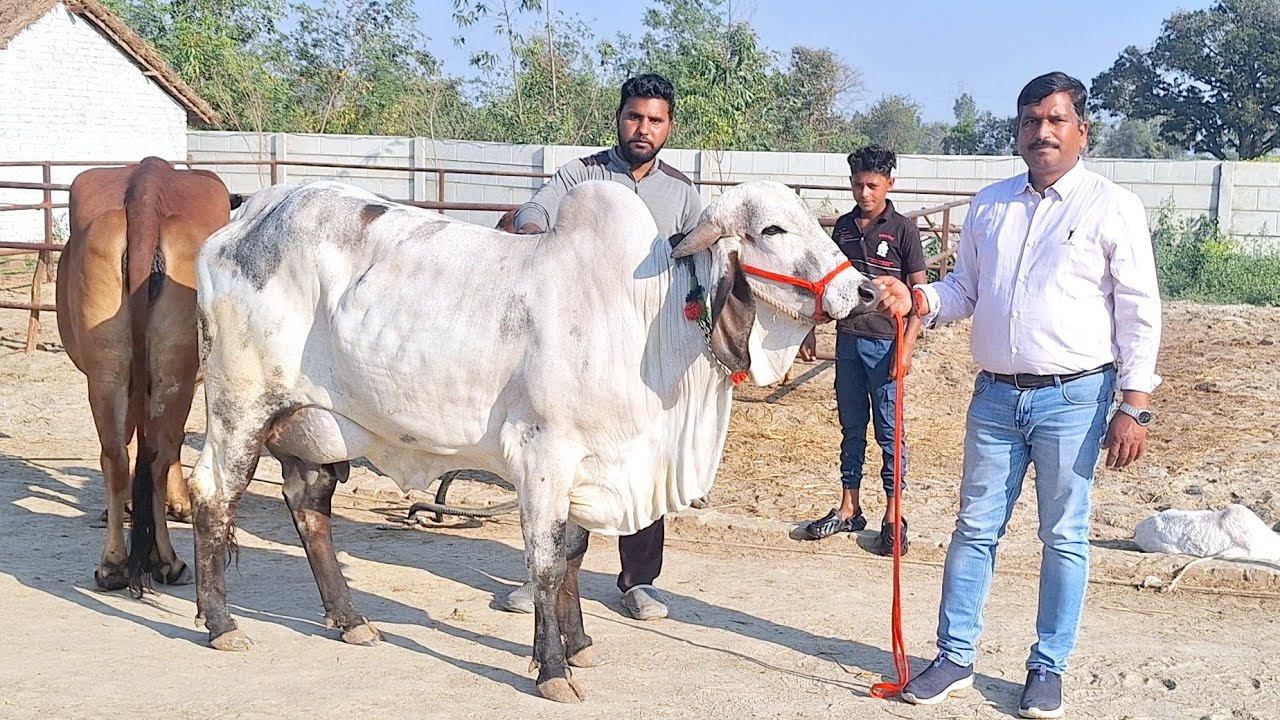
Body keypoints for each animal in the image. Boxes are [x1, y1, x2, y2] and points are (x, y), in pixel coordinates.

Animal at [56, 157, 237, 591]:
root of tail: (147, 187)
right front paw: (178, 504)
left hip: (107, 373)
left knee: (116, 455)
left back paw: (113, 564)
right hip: (175, 376)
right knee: (155, 455)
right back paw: (166, 560)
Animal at [151, 178, 879, 702]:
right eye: (773, 229)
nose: (864, 289)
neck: (648, 320)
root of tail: (244, 219)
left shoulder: (588, 464)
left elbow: (576, 553)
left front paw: (579, 642)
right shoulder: (542, 453)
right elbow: (546, 561)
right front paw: (552, 667)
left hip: (314, 423)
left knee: (309, 505)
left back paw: (350, 620)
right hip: (241, 405)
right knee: (213, 493)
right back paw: (221, 624)